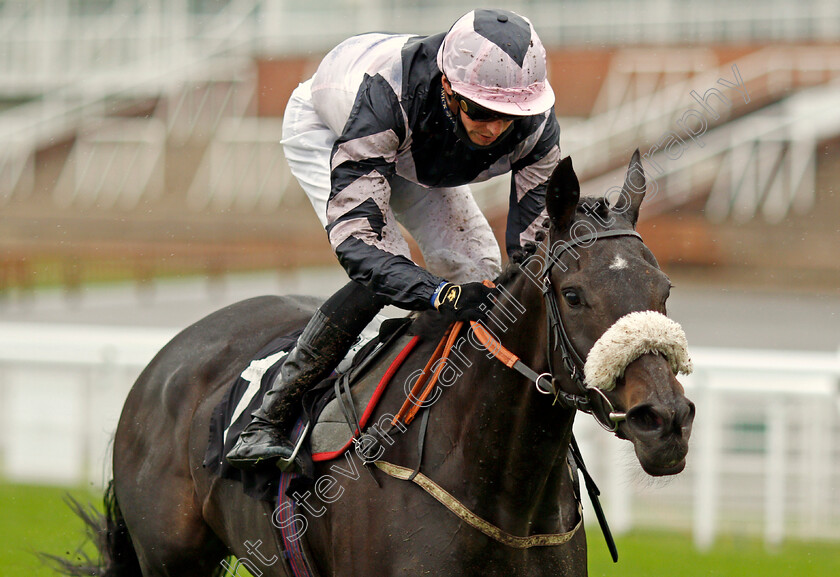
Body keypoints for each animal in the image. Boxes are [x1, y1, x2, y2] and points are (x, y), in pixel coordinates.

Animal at [54, 152, 696, 576]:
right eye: (574, 295)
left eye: (663, 289)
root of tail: (166, 358)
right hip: (169, 558)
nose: (665, 421)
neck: (499, 489)